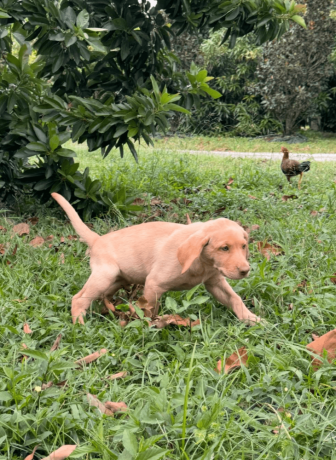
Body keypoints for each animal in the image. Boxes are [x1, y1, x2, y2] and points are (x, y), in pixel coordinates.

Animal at [51, 192, 260, 326]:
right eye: (224, 248)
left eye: (243, 246)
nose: (245, 271)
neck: (202, 262)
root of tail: (97, 239)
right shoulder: (153, 284)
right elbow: (150, 311)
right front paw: (151, 328)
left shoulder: (215, 281)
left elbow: (235, 298)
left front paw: (252, 319)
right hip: (105, 275)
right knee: (79, 299)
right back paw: (79, 324)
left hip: (117, 279)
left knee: (103, 295)